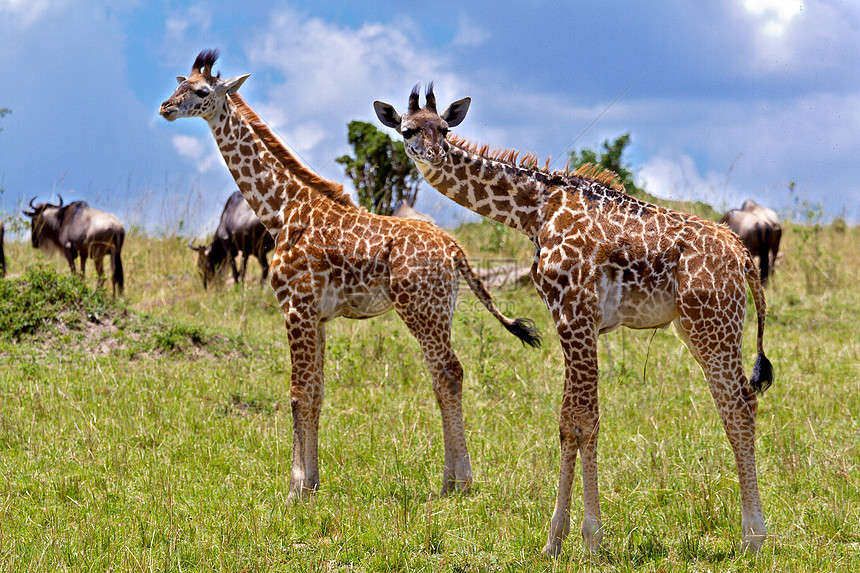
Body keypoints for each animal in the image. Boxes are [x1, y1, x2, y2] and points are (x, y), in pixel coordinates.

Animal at [158, 52, 540, 500]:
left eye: (201, 91)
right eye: (180, 85)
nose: (165, 108)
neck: (281, 210)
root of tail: (454, 248)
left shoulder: (296, 307)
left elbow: (297, 393)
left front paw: (295, 489)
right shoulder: (318, 316)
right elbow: (317, 392)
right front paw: (312, 483)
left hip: (421, 310)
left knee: (449, 372)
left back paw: (457, 482)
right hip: (440, 309)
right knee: (445, 374)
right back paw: (452, 479)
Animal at [374, 85, 772, 556]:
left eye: (445, 129)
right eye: (408, 130)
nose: (433, 154)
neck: (535, 210)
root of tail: (743, 257)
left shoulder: (575, 315)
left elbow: (583, 421)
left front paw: (588, 537)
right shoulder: (571, 320)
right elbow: (569, 422)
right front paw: (557, 541)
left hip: (712, 323)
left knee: (739, 405)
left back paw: (754, 537)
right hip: (698, 327)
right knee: (740, 402)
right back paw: (752, 534)